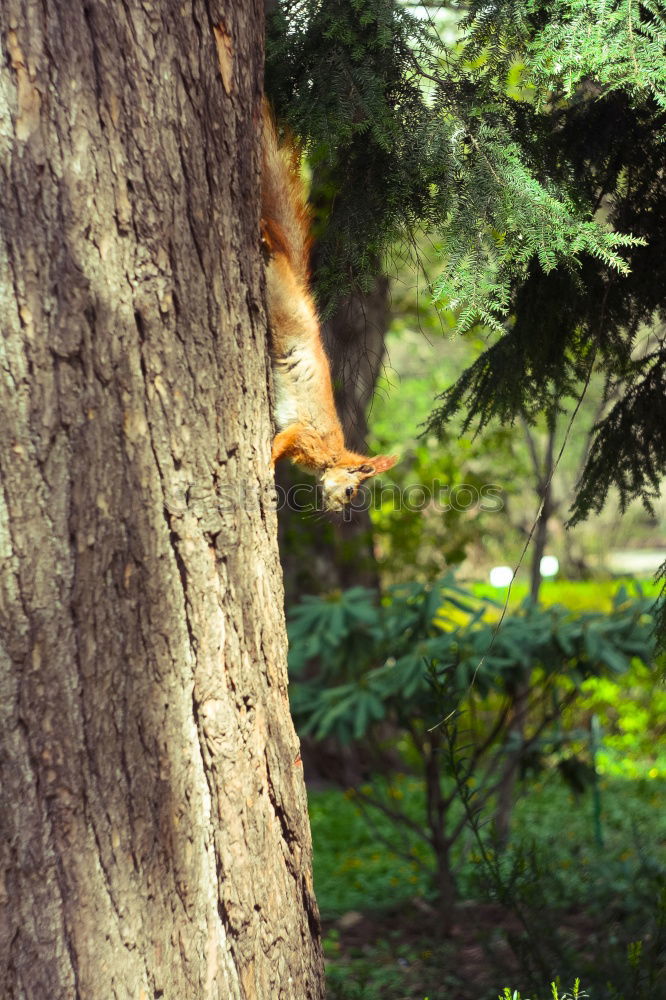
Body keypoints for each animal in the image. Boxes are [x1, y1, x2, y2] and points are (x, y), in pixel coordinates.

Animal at [260, 105, 394, 512]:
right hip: (282, 300)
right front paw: (266, 462)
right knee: (278, 256)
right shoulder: (306, 435)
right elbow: (281, 443)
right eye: (351, 490)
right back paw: (265, 234)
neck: (333, 453)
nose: (338, 511)